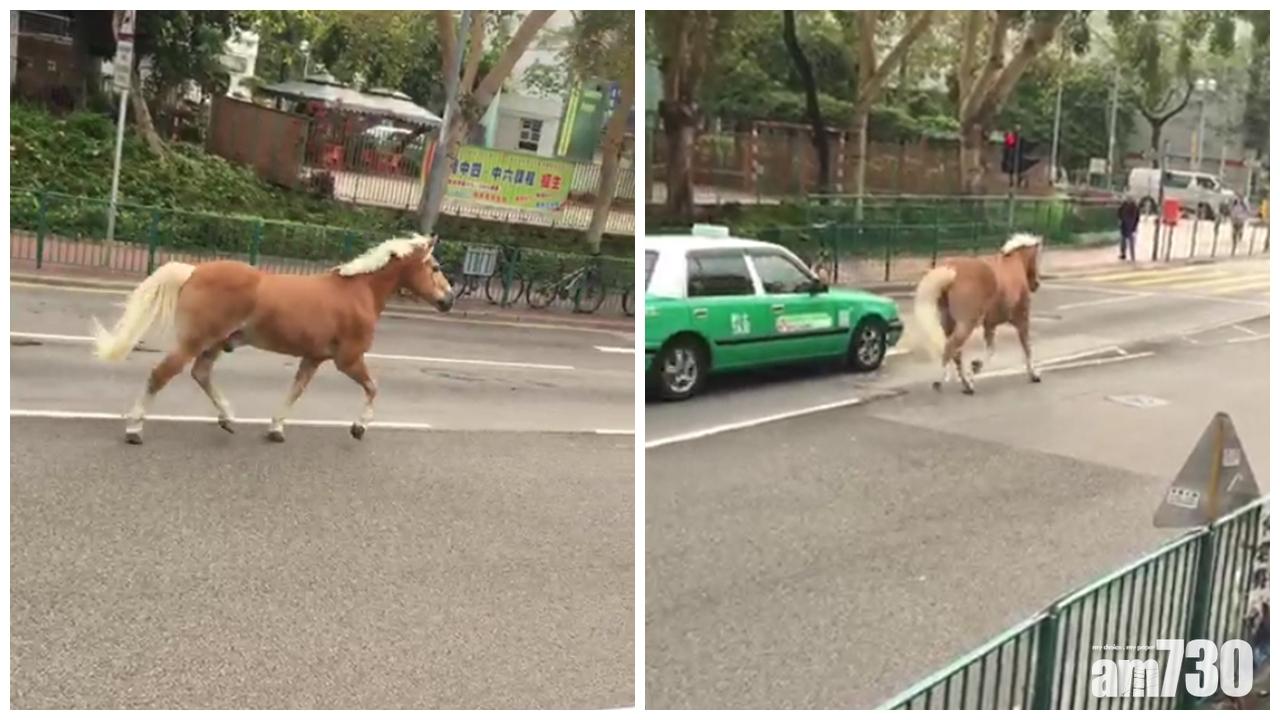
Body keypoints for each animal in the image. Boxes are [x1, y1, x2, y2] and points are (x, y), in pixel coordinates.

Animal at [90, 234, 455, 444]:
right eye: (435, 267)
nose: (449, 299)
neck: (358, 292)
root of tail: (194, 270)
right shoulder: (348, 359)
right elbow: (373, 387)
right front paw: (359, 427)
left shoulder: (313, 358)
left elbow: (296, 390)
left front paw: (276, 428)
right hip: (195, 340)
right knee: (162, 374)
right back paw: (134, 429)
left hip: (215, 344)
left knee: (201, 374)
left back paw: (228, 418)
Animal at [911, 233, 1043, 394]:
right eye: (1037, 257)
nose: (1036, 284)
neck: (1014, 264)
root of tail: (951, 273)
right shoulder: (1022, 319)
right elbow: (1027, 347)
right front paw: (1034, 375)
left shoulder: (990, 325)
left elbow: (991, 350)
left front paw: (975, 367)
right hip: (967, 323)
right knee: (951, 347)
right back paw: (942, 381)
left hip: (948, 322)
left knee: (956, 352)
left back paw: (966, 383)